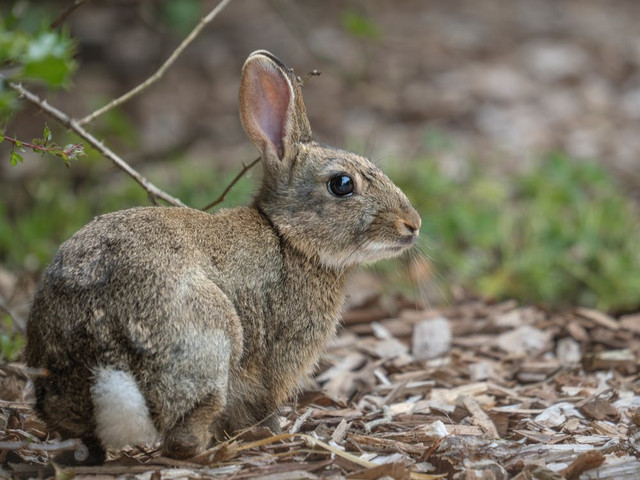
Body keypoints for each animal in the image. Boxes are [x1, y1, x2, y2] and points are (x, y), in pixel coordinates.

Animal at [25, 49, 422, 464]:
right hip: (211, 339)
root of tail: (98, 349)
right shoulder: (276, 360)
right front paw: (271, 431)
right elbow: (262, 403)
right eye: (342, 184)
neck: (287, 236)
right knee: (184, 435)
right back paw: (220, 451)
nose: (413, 224)